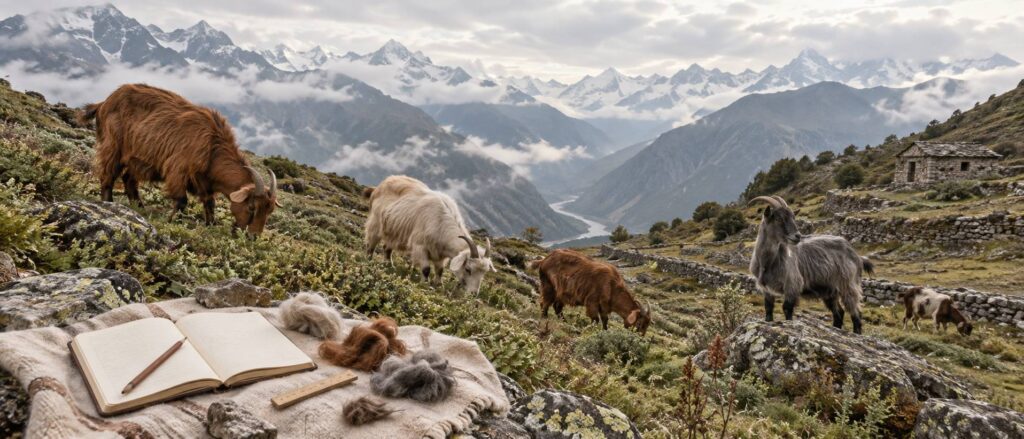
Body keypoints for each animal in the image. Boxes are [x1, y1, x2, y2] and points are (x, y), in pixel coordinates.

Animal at [80, 84, 279, 238]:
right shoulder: (178, 170)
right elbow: (182, 200)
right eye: (252, 207)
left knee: (129, 179)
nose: (253, 237)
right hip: (113, 146)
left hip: (137, 159)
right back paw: (109, 203)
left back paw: (140, 208)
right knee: (108, 175)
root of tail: (104, 102)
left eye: (269, 210)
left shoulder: (204, 183)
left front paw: (211, 225)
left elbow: (210, 203)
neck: (212, 147)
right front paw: (173, 222)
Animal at [363, 175, 494, 295]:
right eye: (468, 269)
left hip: (394, 231)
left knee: (387, 248)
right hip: (376, 223)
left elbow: (440, 270)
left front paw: (439, 285)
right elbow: (426, 269)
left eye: (484, 272)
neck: (441, 222)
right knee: (371, 243)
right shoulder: (420, 246)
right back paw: (369, 260)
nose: (474, 293)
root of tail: (380, 186)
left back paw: (389, 265)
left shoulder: (440, 255)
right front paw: (425, 285)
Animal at [749, 195, 873, 334]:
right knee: (839, 313)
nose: (797, 236)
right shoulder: (767, 290)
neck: (768, 262)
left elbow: (787, 308)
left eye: (793, 217)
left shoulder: (792, 285)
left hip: (848, 285)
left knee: (855, 313)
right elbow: (768, 309)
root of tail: (856, 256)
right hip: (830, 291)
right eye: (778, 218)